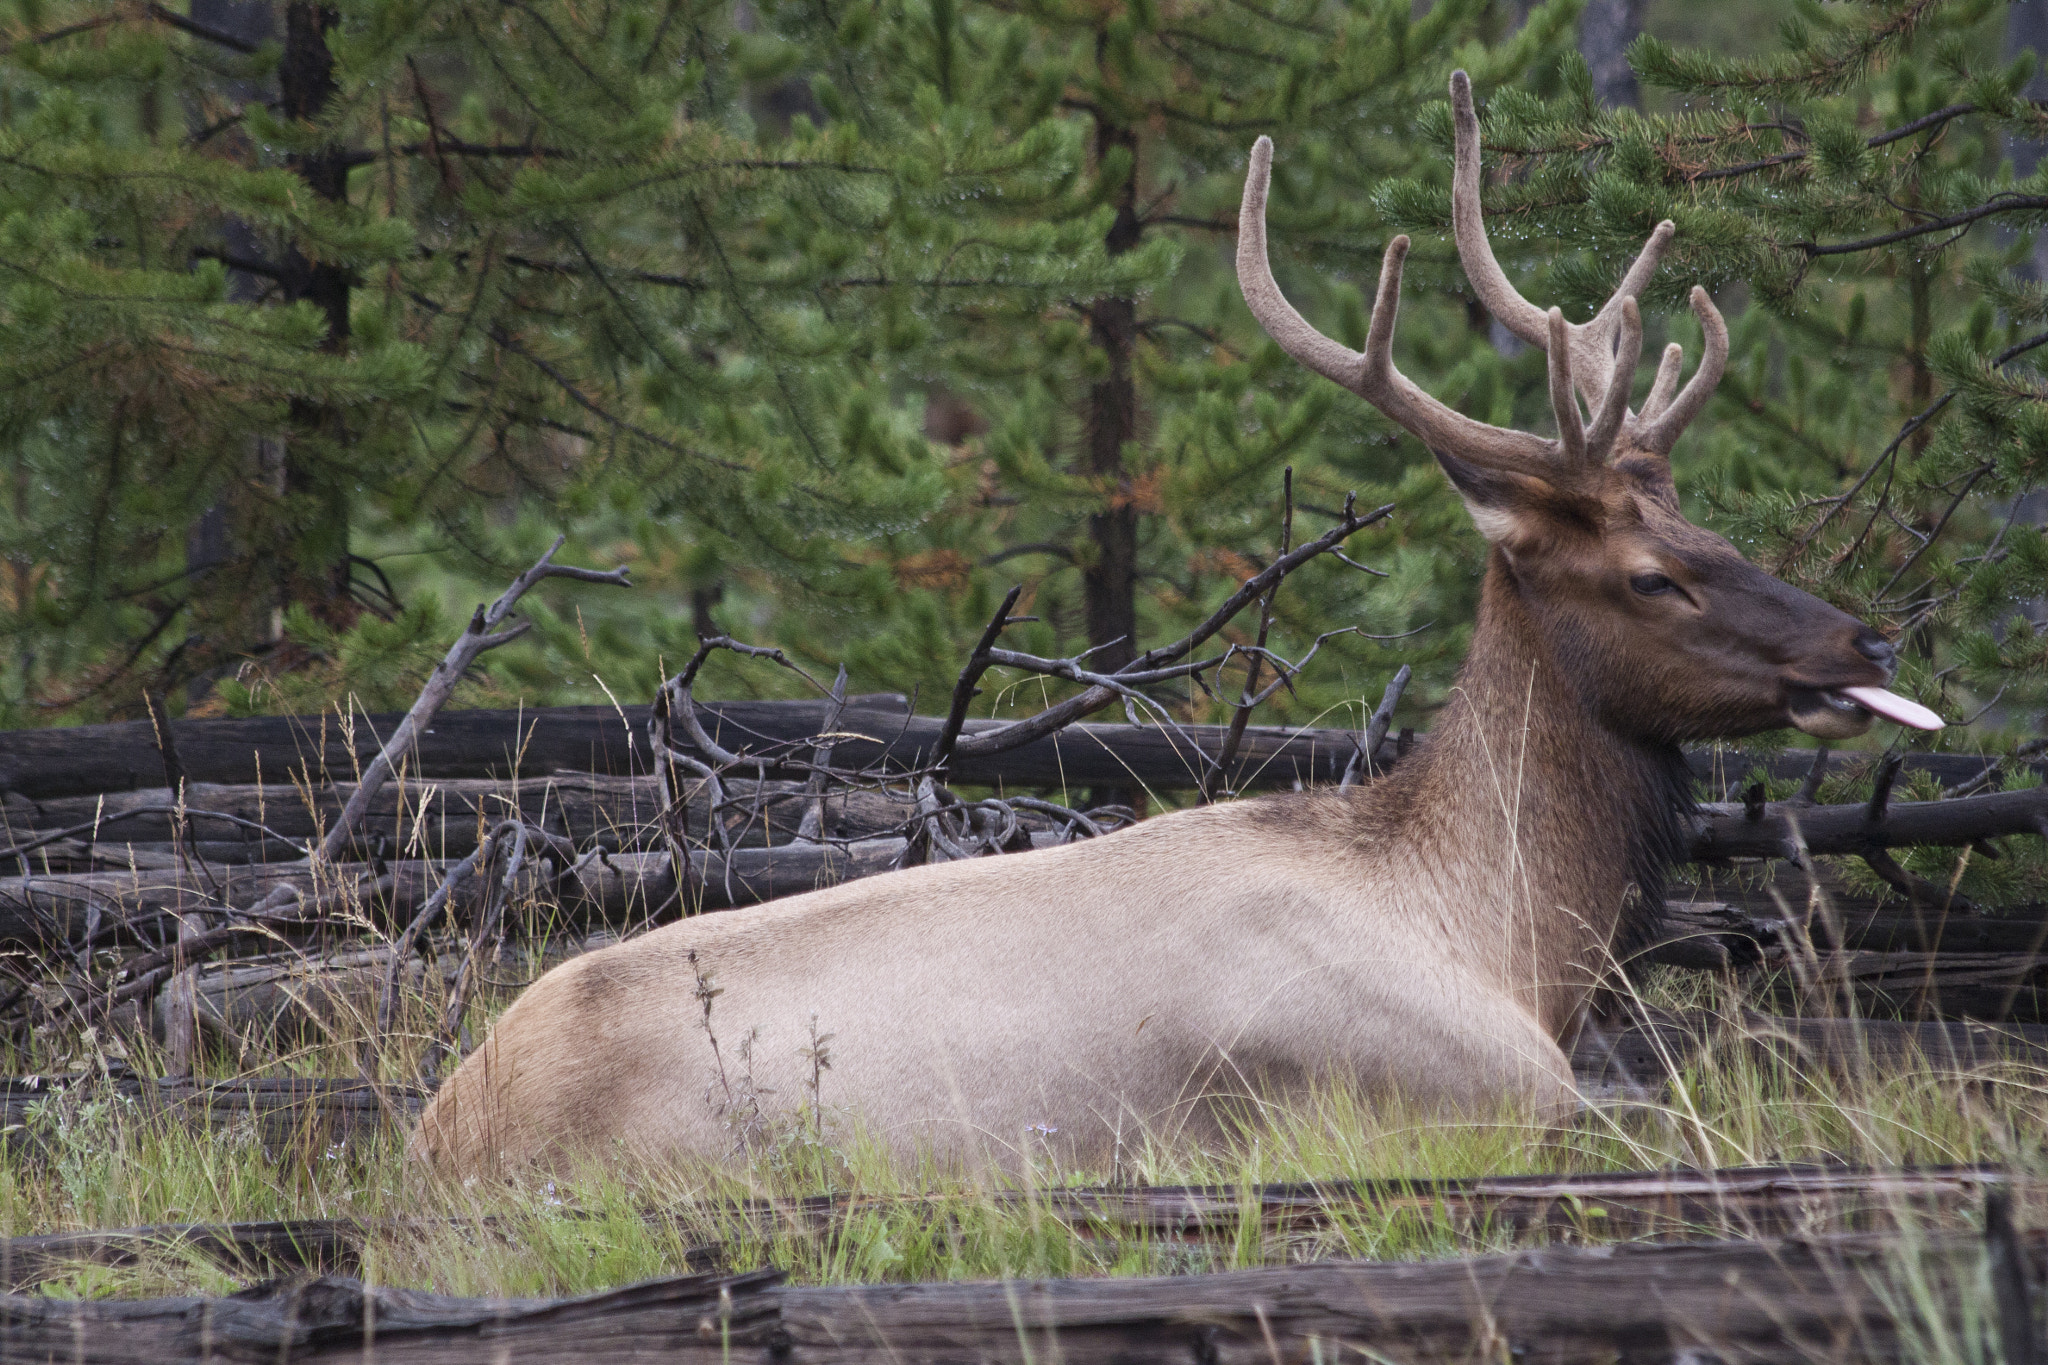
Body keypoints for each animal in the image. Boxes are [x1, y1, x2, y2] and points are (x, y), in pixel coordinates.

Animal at [410, 71, 1940, 1181]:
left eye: (1716, 534)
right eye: (1649, 576)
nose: (1864, 645)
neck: (1501, 937)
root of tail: (437, 1136)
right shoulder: (1472, 1094)